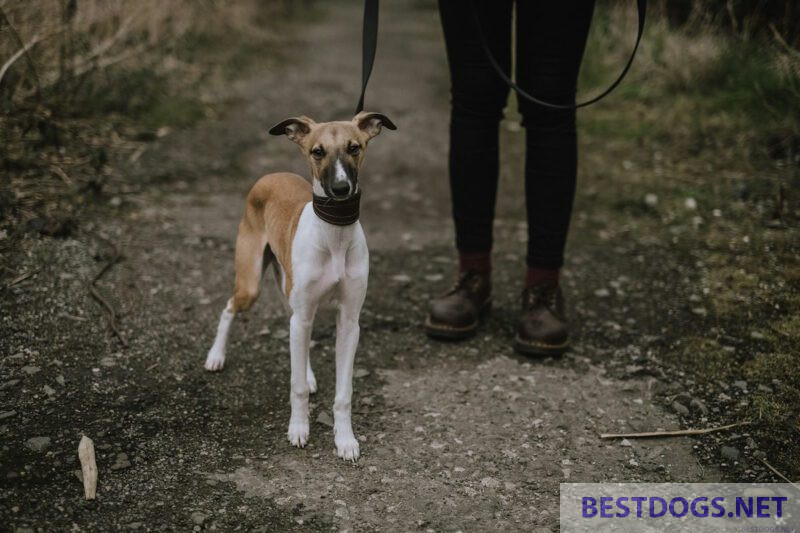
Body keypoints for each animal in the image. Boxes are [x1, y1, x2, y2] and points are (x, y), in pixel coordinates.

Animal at [205, 110, 396, 460]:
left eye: (354, 147)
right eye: (317, 151)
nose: (340, 189)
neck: (334, 235)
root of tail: (271, 174)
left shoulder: (349, 323)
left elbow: (344, 392)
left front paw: (345, 440)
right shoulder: (304, 311)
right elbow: (294, 387)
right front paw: (298, 429)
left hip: (291, 295)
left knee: (295, 332)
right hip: (251, 284)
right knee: (230, 308)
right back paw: (216, 356)